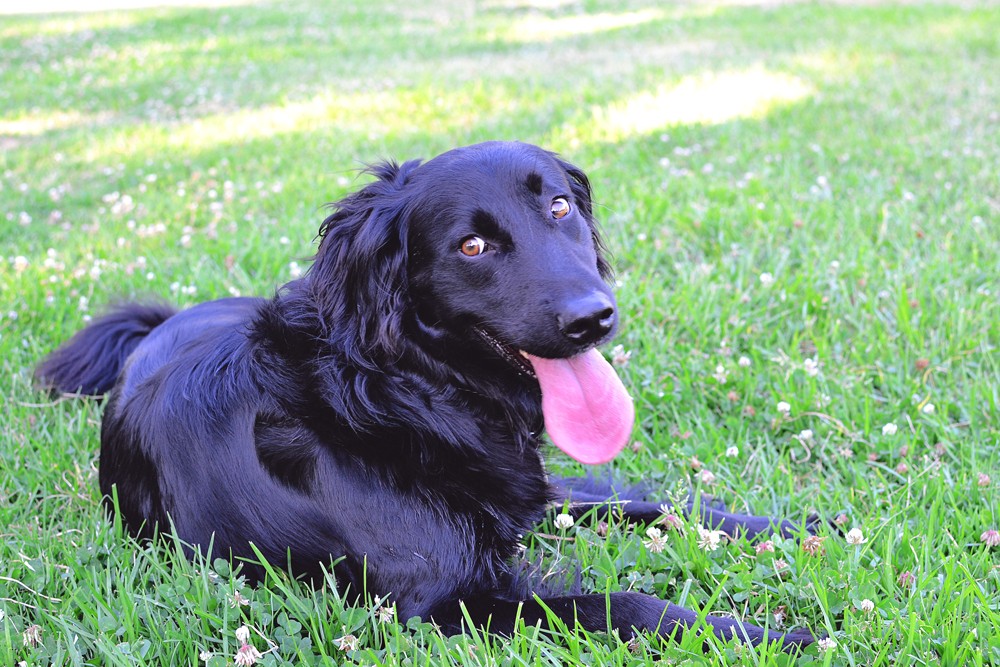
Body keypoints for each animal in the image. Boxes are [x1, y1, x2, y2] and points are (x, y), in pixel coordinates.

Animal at [39, 142, 816, 652]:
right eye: (471, 246)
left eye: (559, 204)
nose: (594, 317)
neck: (399, 396)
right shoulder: (444, 603)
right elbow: (626, 603)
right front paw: (768, 633)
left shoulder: (526, 490)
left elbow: (659, 501)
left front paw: (800, 524)